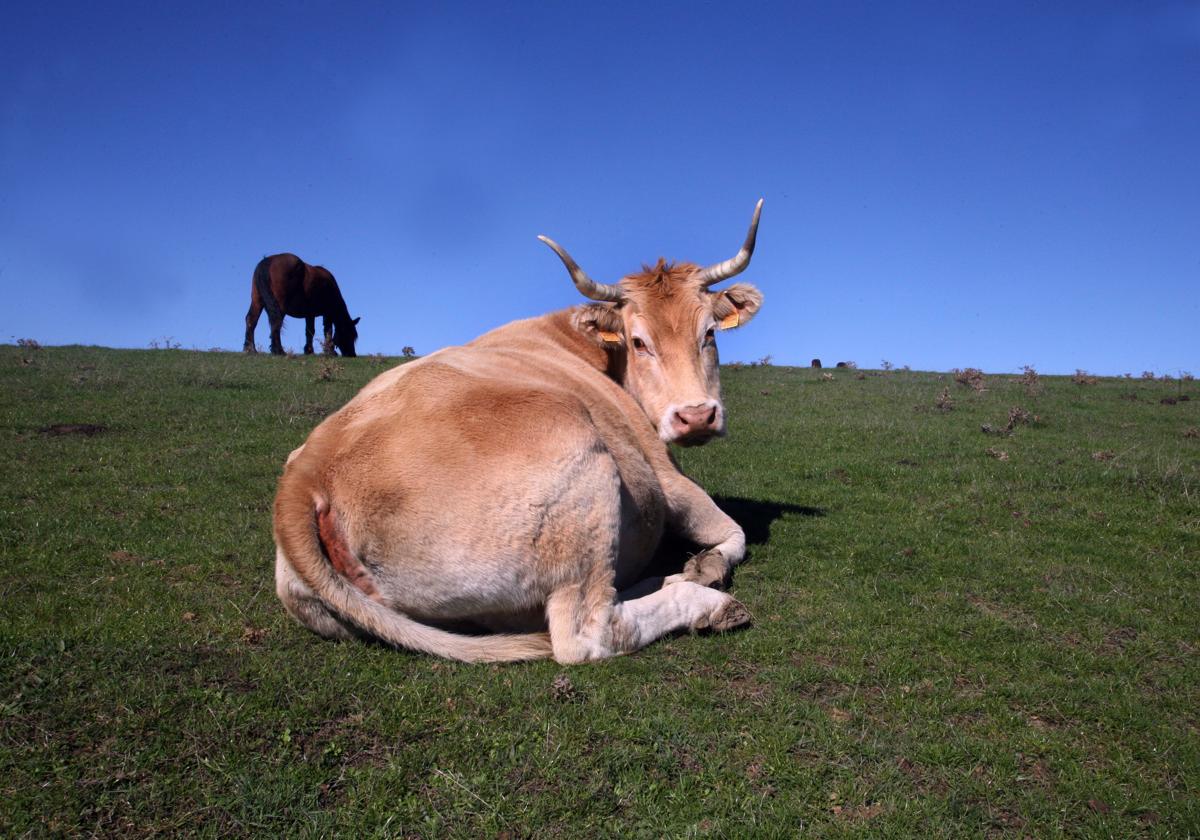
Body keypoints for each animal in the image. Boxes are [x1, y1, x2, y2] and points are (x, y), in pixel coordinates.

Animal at [272, 201, 763, 662]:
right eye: (639, 342)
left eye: (710, 333)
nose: (696, 416)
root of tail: (307, 472)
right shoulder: (666, 478)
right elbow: (733, 535)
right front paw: (703, 568)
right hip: (583, 466)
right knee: (589, 633)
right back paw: (704, 602)